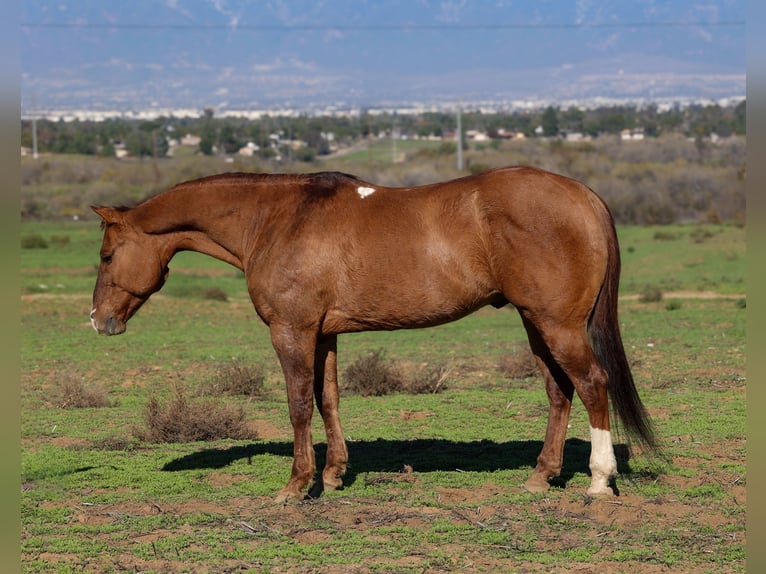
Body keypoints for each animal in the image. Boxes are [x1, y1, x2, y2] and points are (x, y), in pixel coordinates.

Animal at [90, 166, 655, 502]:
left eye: (107, 255)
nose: (98, 320)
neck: (278, 218)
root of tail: (582, 195)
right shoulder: (324, 334)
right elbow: (329, 400)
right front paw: (335, 473)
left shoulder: (291, 332)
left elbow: (299, 404)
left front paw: (297, 486)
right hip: (535, 322)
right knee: (559, 392)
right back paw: (541, 476)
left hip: (557, 325)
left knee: (592, 384)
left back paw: (599, 481)